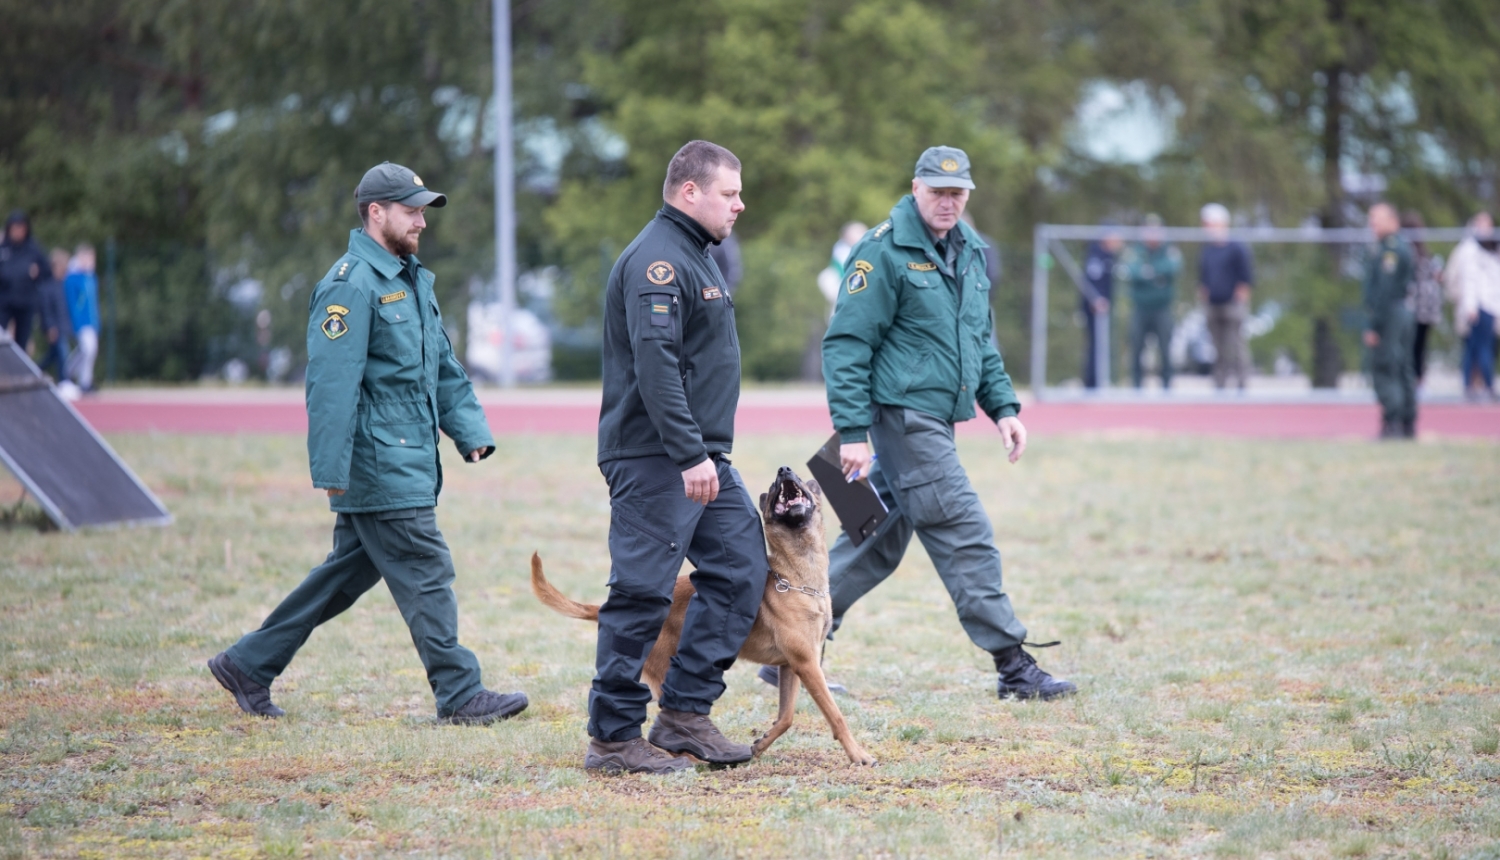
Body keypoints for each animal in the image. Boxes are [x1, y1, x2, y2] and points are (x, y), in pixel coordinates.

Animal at [531, 465, 876, 768]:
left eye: (798, 479)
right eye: (775, 487)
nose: (783, 470)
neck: (796, 579)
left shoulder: (792, 666)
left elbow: (786, 717)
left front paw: (760, 744)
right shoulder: (807, 664)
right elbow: (836, 715)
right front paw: (858, 755)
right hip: (663, 668)